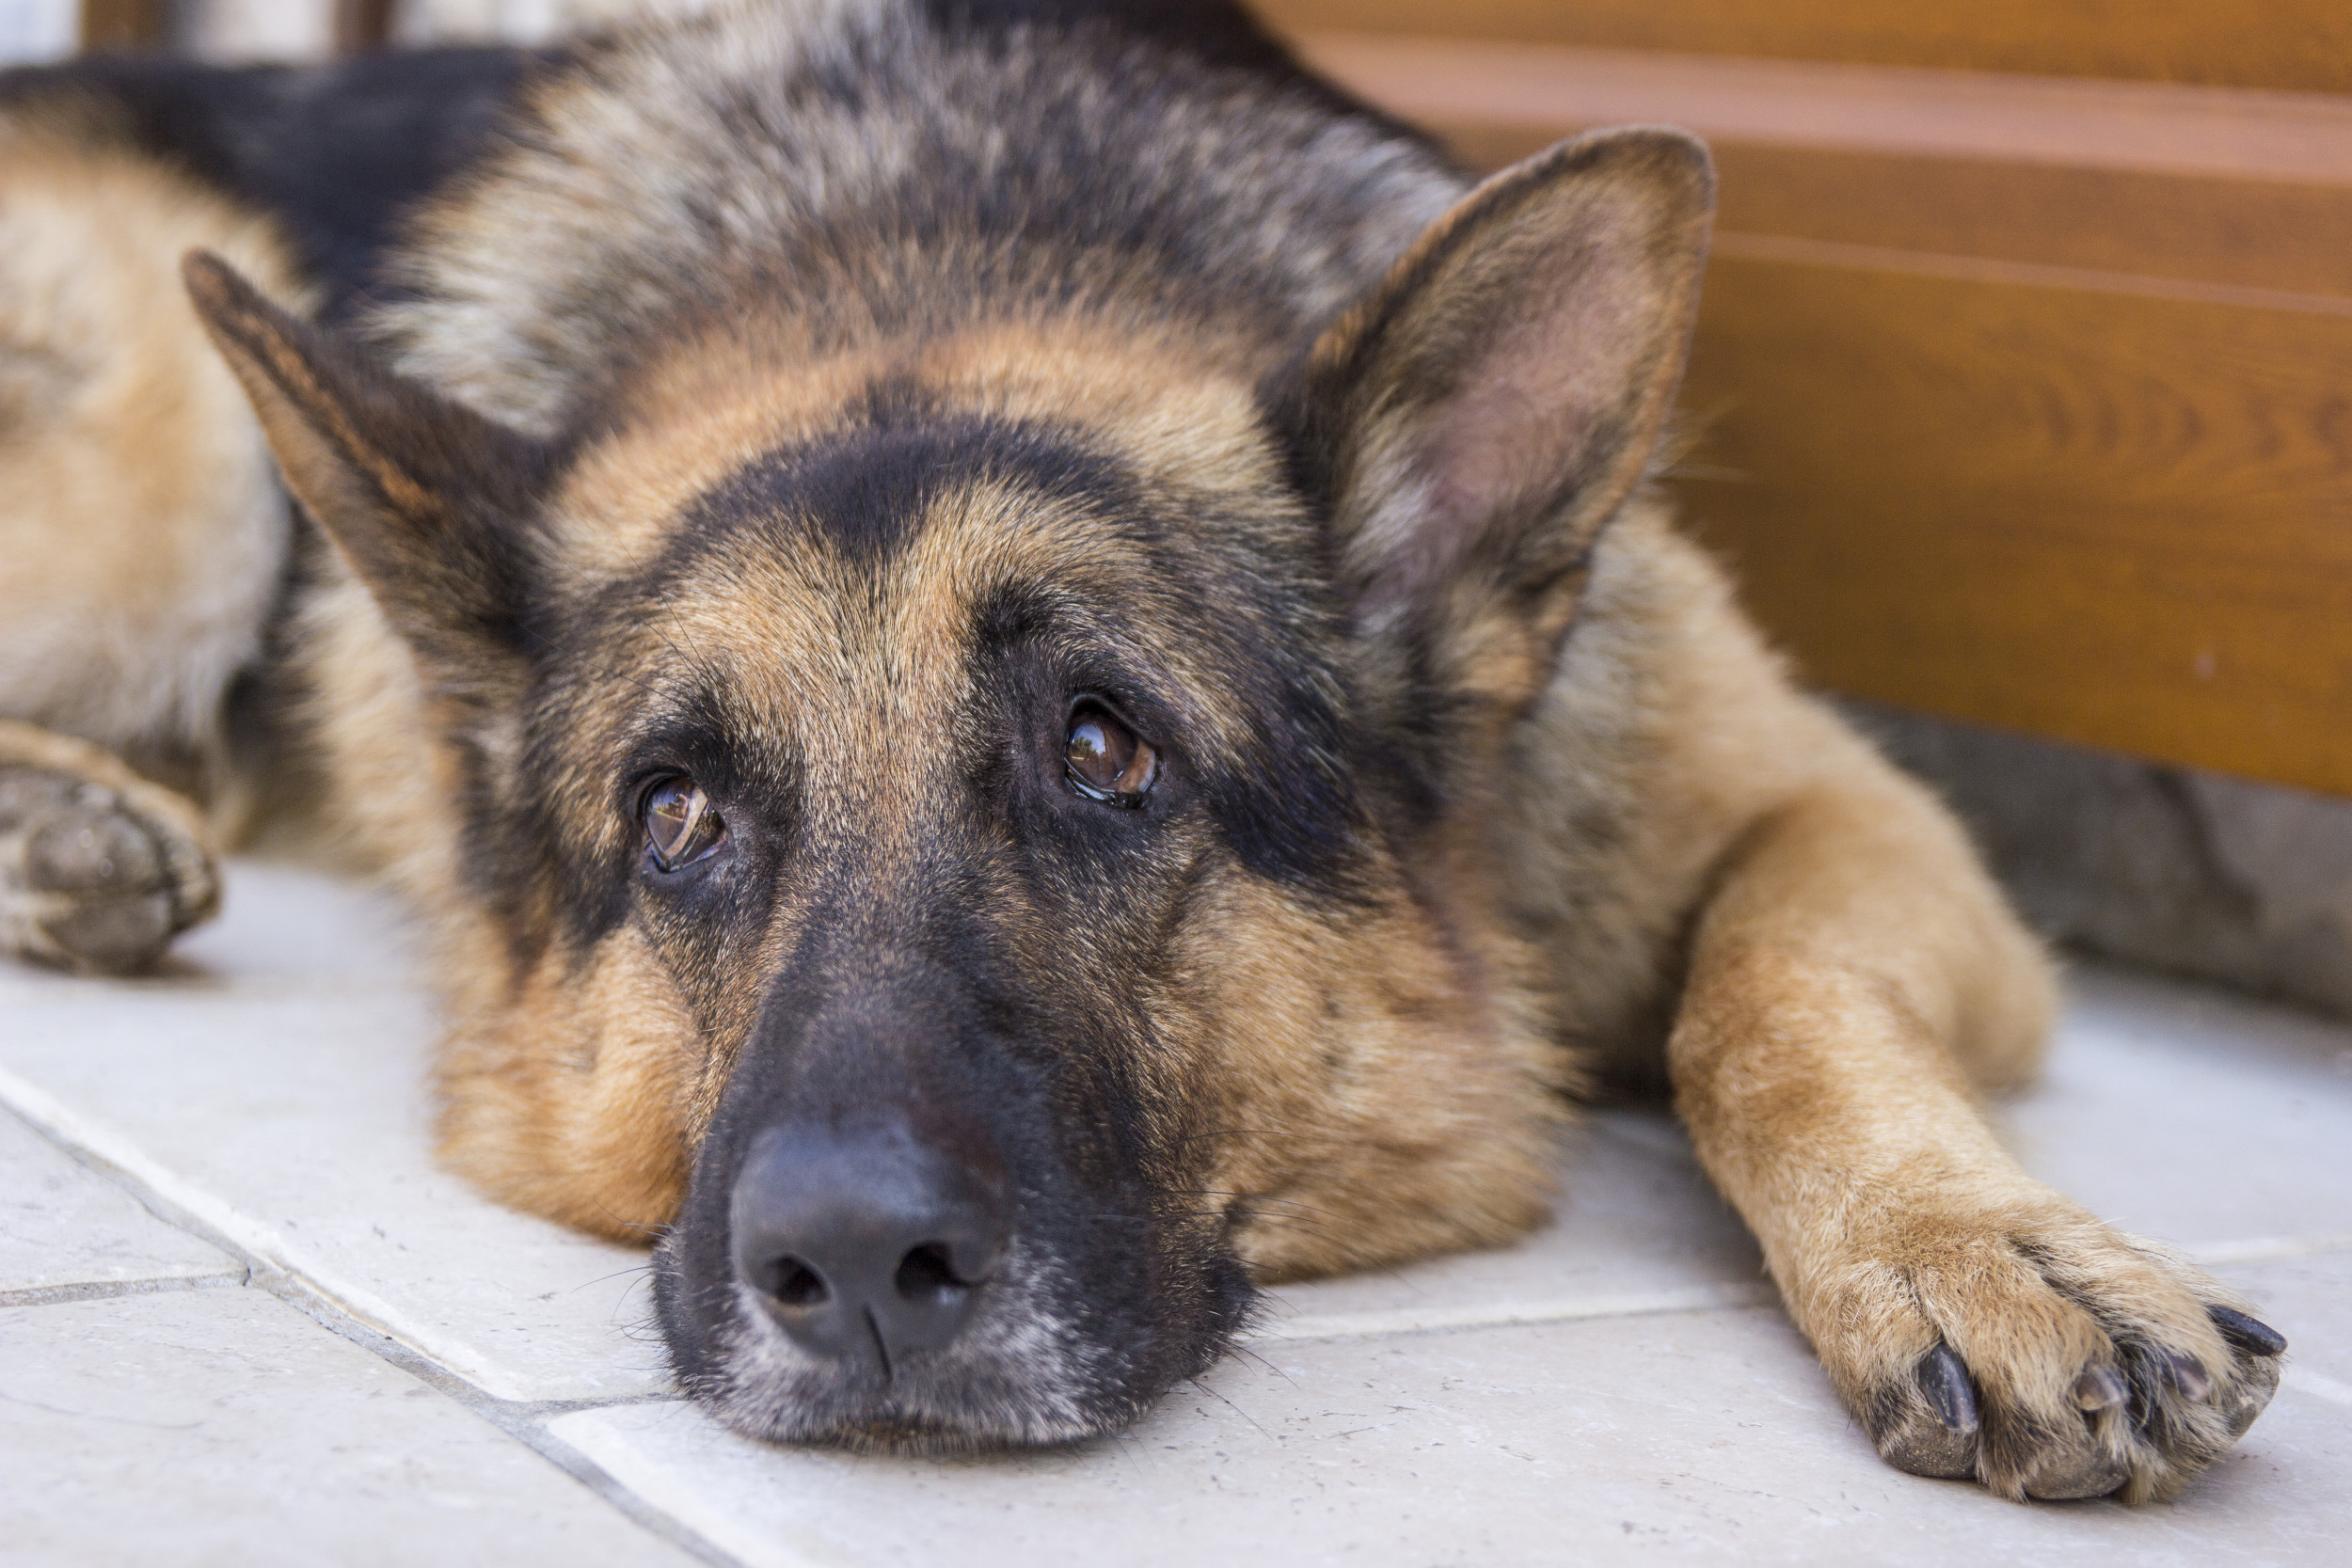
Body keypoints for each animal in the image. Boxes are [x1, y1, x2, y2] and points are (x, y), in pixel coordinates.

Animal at [0, 0, 2277, 1495]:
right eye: (676, 813)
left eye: (1106, 750)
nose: (850, 1260)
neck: (933, 244)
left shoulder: (1851, 816)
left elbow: (1769, 990)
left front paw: (1964, 1241)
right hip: (168, 488)